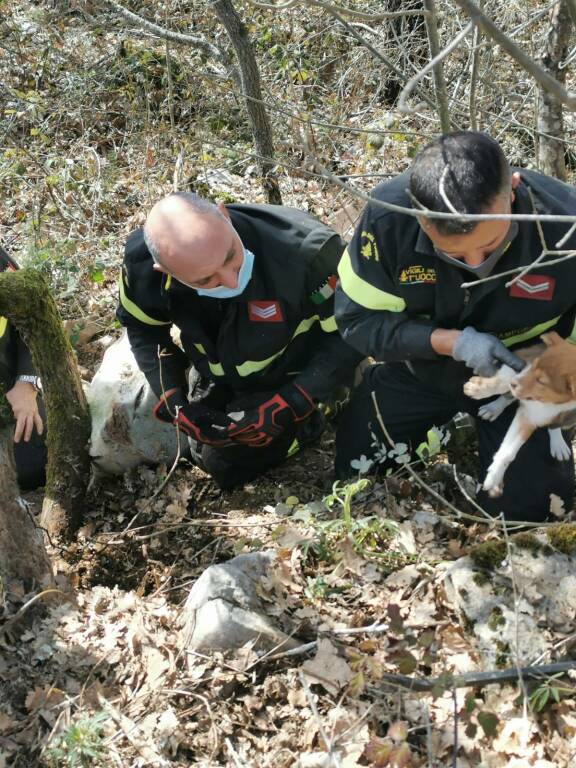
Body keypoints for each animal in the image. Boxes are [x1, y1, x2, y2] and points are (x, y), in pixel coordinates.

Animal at [464, 332, 576, 498]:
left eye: (542, 382)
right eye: (533, 366)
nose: (514, 383)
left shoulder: (532, 417)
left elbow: (509, 452)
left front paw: (494, 476)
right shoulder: (522, 362)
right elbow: (506, 377)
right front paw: (480, 388)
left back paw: (558, 442)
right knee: (507, 395)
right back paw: (493, 408)